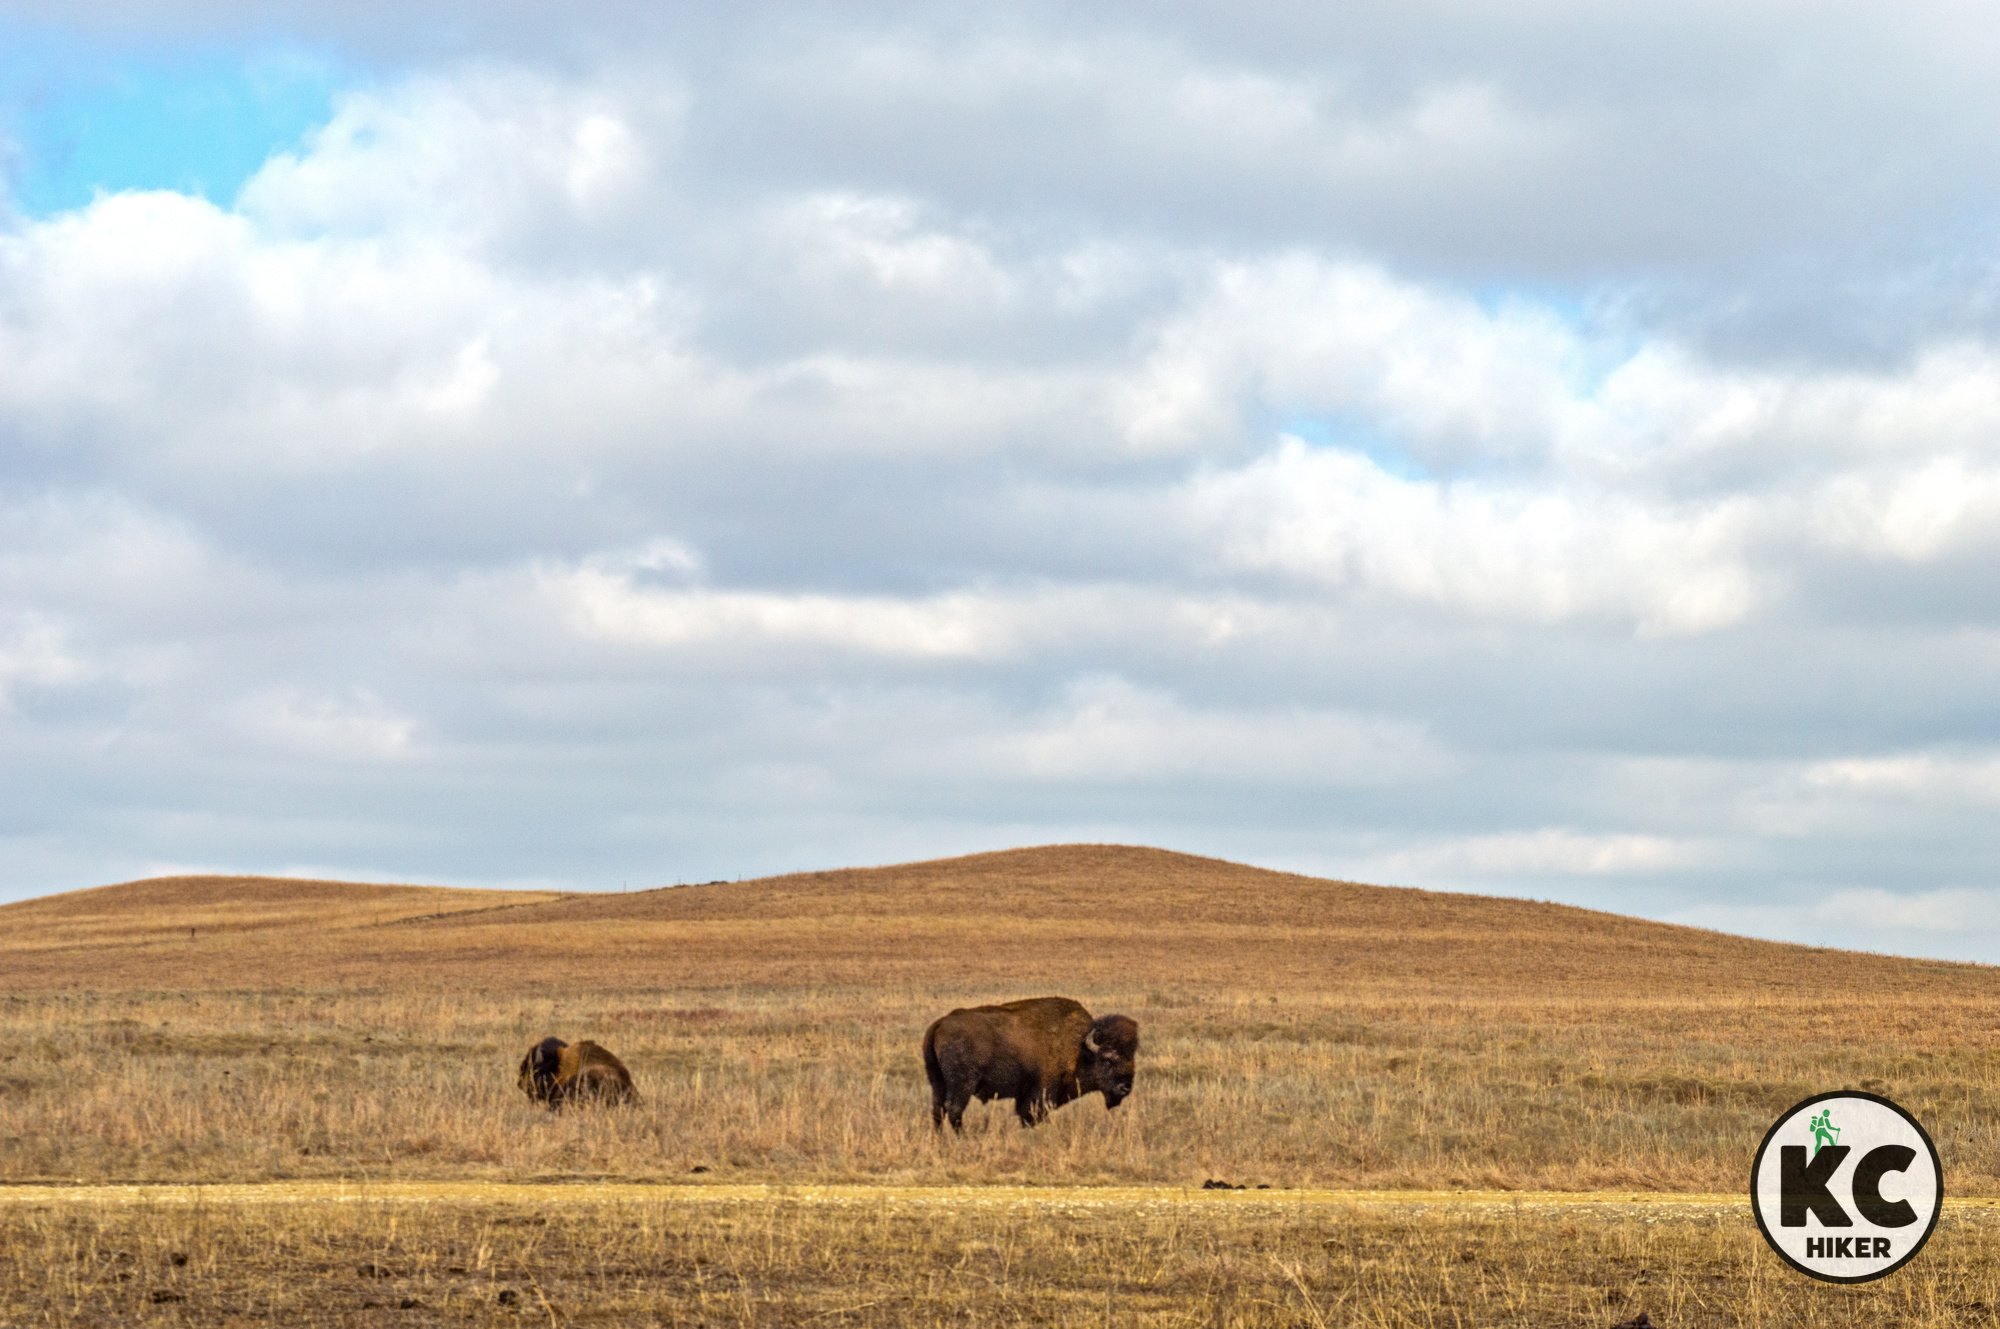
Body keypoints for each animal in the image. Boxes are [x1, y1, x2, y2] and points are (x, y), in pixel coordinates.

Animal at [924, 996, 1144, 1128]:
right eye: (1108, 1060)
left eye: (1131, 1058)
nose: (1125, 1087)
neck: (1080, 1048)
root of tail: (941, 1023)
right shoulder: (1040, 1093)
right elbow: (1030, 1115)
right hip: (963, 1084)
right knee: (953, 1109)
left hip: (938, 1082)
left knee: (938, 1109)